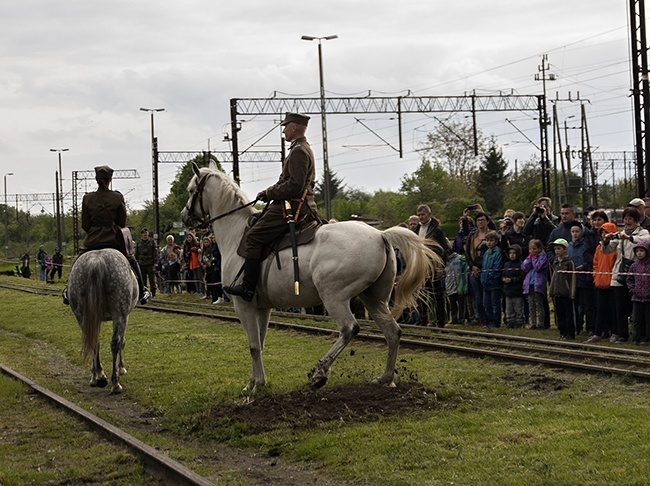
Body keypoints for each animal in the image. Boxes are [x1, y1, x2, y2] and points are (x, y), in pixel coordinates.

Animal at [67, 249, 138, 392]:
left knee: (93, 341)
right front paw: (121, 368)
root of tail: (96, 262)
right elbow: (122, 342)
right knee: (115, 343)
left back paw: (97, 377)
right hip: (119, 314)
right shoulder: (126, 316)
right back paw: (115, 384)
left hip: (81, 315)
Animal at [180, 163, 438, 392]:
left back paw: (320, 372)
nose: (184, 216)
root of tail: (380, 235)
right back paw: (385, 378)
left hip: (334, 297)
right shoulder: (262, 308)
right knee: (392, 332)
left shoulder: (243, 304)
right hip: (374, 299)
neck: (236, 234)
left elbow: (253, 345)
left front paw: (254, 385)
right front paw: (256, 381)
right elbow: (260, 344)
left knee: (349, 328)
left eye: (191, 190)